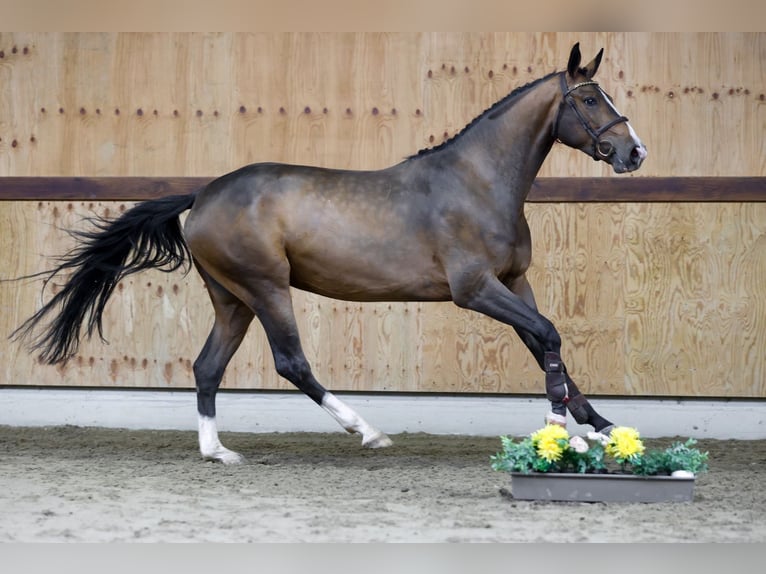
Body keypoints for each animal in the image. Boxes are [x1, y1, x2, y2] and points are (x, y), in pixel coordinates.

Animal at [12, 42, 648, 466]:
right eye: (590, 99)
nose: (633, 152)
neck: (478, 182)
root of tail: (204, 194)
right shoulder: (475, 290)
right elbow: (548, 337)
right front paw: (561, 426)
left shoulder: (514, 283)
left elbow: (547, 343)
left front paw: (602, 428)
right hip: (266, 287)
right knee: (291, 362)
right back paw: (367, 431)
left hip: (231, 298)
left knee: (207, 367)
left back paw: (218, 452)